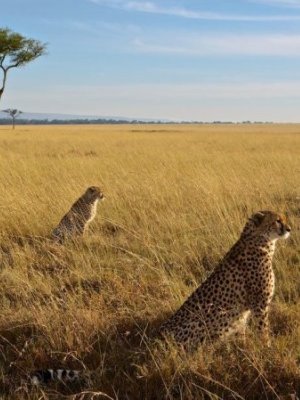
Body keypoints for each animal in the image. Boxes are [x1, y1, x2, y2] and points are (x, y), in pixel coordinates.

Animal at [159, 211, 290, 348]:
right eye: (277, 220)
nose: (289, 229)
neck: (261, 241)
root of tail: (159, 335)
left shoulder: (245, 313)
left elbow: (242, 332)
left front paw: (243, 345)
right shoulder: (260, 305)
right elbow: (262, 329)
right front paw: (267, 347)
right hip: (200, 322)